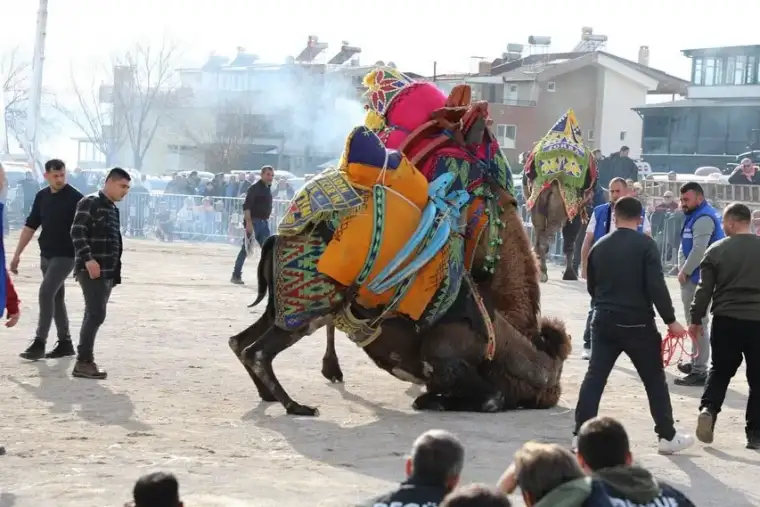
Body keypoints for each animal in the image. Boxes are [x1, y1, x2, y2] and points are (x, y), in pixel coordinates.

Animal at [520, 109, 596, 284]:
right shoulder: (573, 212)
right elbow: (569, 243)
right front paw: (570, 274)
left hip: (537, 203)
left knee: (540, 236)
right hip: (559, 208)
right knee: (548, 239)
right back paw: (543, 273)